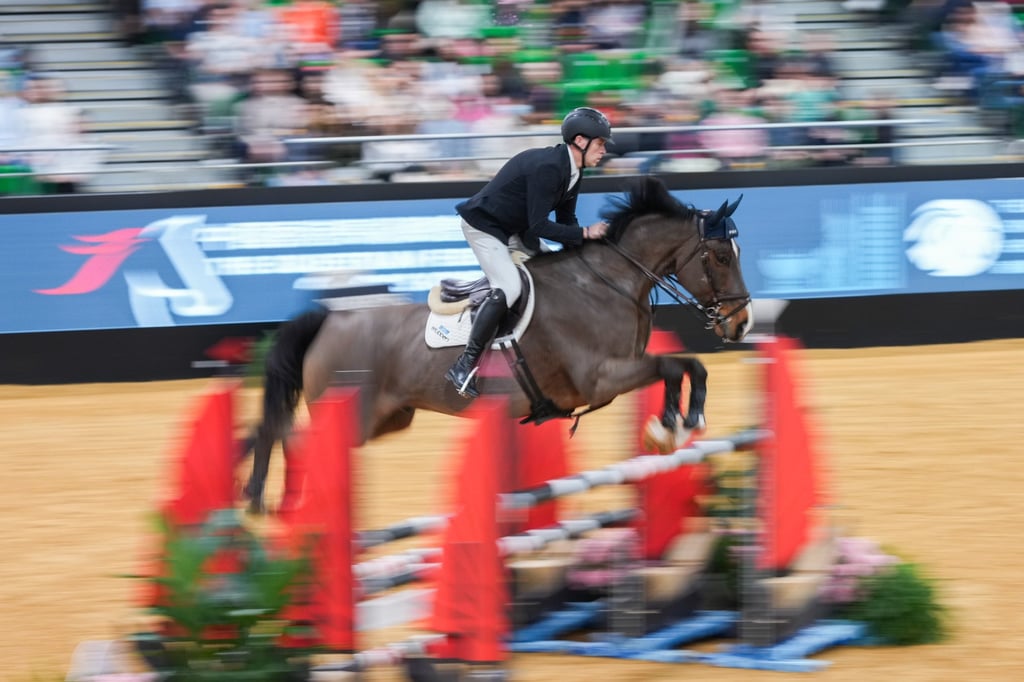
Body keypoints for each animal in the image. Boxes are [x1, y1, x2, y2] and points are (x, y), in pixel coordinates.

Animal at [243, 175, 752, 512]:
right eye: (720, 257)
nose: (741, 324)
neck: (609, 284)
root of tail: (331, 320)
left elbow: (690, 366)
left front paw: (681, 424)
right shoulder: (600, 377)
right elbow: (672, 365)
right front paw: (669, 427)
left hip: (390, 417)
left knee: (288, 434)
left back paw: (270, 497)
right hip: (353, 414)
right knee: (293, 436)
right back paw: (270, 497)